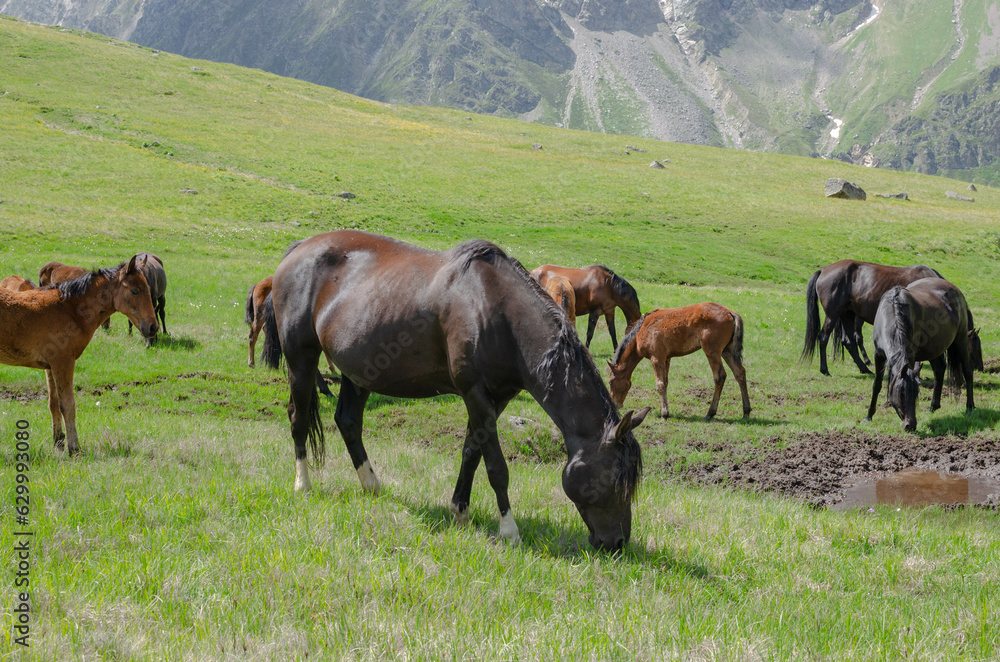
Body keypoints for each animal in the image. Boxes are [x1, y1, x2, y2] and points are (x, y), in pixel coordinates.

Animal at [0, 256, 158, 454]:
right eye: (135, 290)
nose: (153, 327)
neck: (70, 310)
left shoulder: (49, 366)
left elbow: (53, 403)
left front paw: (58, 441)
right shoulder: (63, 362)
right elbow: (67, 405)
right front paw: (74, 447)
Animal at [262, 231, 649, 551]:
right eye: (616, 478)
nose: (617, 543)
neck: (497, 310)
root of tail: (298, 249)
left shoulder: (496, 399)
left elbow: (470, 452)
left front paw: (459, 511)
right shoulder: (475, 393)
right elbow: (495, 466)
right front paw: (509, 530)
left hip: (358, 374)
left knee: (348, 422)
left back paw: (372, 486)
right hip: (301, 360)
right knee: (298, 418)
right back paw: (303, 485)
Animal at [607, 303, 751, 421]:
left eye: (610, 382)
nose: (614, 404)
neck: (640, 332)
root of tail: (730, 312)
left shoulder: (657, 359)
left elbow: (660, 385)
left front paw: (664, 414)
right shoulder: (666, 358)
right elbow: (665, 383)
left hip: (712, 352)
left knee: (720, 376)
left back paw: (710, 413)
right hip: (727, 351)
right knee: (740, 373)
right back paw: (746, 411)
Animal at [802, 260, 944, 376]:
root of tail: (823, 270)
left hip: (847, 315)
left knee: (849, 342)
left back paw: (864, 369)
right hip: (833, 315)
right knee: (823, 338)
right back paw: (825, 370)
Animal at [866, 278, 980, 432]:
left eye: (916, 394)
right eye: (901, 393)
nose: (910, 425)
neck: (893, 312)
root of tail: (956, 290)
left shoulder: (910, 356)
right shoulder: (878, 355)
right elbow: (877, 384)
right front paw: (869, 416)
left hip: (960, 341)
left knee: (967, 370)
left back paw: (969, 407)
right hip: (935, 348)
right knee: (939, 370)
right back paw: (933, 407)